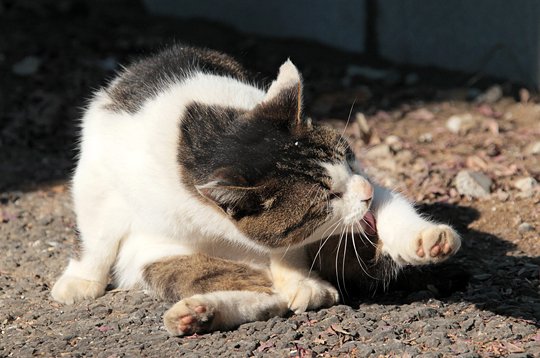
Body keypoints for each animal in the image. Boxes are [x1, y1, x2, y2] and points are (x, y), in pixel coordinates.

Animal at [51, 44, 460, 336]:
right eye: (326, 198)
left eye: (347, 158)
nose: (365, 191)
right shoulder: (96, 172)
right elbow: (96, 235)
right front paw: (82, 280)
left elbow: (289, 245)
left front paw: (299, 278)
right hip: (158, 259)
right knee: (259, 294)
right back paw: (197, 313)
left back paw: (426, 240)